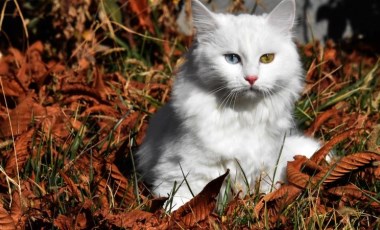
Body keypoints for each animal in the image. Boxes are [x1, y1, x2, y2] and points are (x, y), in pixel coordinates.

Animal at [137, 0, 320, 210]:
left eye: (266, 58)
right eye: (232, 58)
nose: (251, 78)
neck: (243, 115)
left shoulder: (266, 166)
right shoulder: (180, 171)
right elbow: (181, 202)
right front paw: (173, 213)